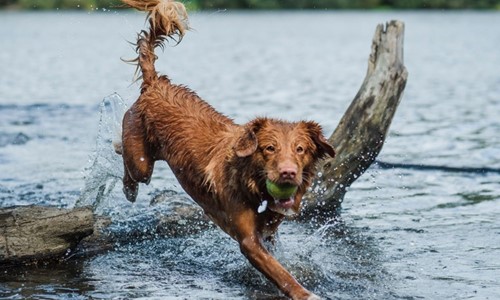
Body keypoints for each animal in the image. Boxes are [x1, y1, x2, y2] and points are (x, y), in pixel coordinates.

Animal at [117, 1, 334, 298]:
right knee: (131, 164)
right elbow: (281, 273)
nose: (289, 173)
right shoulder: (248, 241)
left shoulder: (268, 231)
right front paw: (304, 292)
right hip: (141, 161)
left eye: (300, 149)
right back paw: (128, 185)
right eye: (269, 148)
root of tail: (156, 84)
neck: (253, 183)